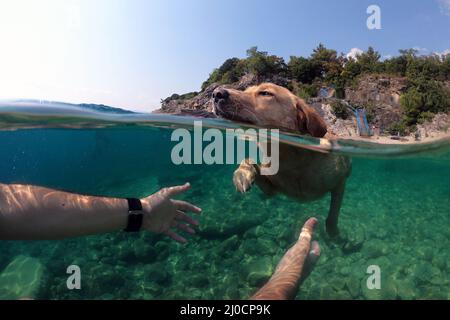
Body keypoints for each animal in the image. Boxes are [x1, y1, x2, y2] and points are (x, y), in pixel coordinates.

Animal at [212, 83, 352, 238]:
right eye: (246, 90)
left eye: (265, 93)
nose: (216, 93)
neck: (292, 161)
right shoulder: (271, 189)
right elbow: (249, 160)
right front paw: (242, 174)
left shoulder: (340, 183)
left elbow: (333, 213)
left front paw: (333, 232)